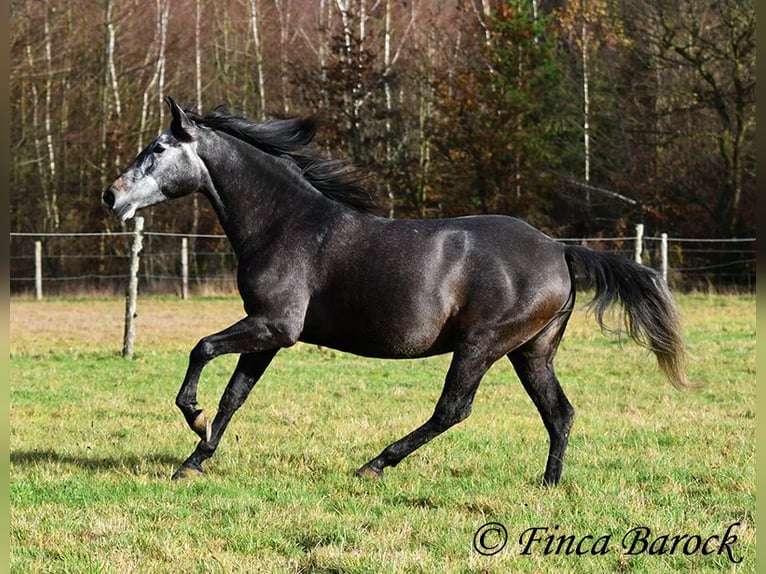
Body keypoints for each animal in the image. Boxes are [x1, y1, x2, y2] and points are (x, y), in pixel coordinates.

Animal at [102, 98, 688, 486]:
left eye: (157, 148)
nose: (111, 195)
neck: (284, 223)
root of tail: (560, 249)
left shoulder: (275, 326)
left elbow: (201, 349)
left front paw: (193, 420)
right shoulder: (268, 334)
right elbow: (234, 396)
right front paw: (195, 459)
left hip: (481, 346)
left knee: (453, 409)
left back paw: (373, 464)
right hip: (531, 351)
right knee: (559, 413)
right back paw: (546, 485)